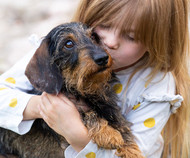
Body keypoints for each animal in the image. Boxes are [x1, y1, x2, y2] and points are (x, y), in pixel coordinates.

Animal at [0, 22, 143, 158]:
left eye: (93, 36)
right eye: (68, 43)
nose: (102, 57)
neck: (84, 90)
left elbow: (121, 125)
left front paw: (131, 150)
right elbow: (86, 112)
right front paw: (108, 133)